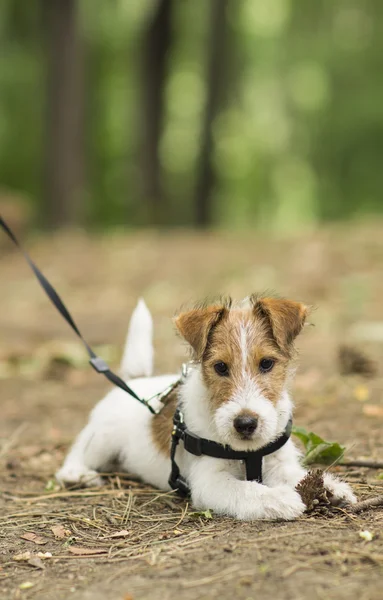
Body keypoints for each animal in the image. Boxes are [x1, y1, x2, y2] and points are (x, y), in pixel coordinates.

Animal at [57, 296, 356, 520]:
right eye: (220, 367)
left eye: (267, 363)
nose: (245, 424)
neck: (247, 453)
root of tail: (135, 381)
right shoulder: (209, 482)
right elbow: (247, 490)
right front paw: (279, 499)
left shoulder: (278, 461)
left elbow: (297, 475)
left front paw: (330, 488)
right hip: (101, 438)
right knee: (77, 454)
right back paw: (77, 475)